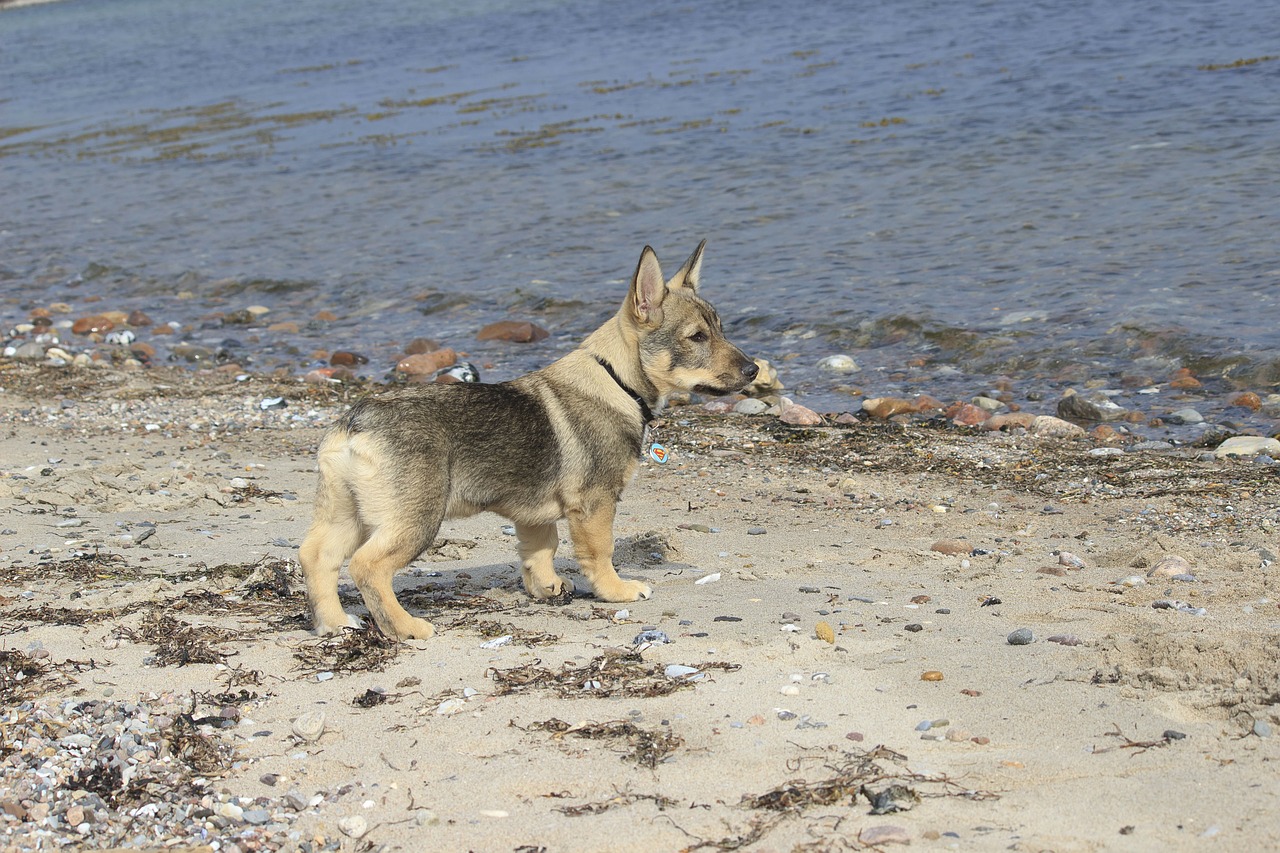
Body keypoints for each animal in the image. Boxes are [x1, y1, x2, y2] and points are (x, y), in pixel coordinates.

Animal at [299, 239, 757, 637]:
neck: (616, 379)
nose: (754, 371)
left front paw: (547, 587)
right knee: (368, 567)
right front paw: (616, 590)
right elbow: (600, 552)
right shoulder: (596, 504)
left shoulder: (534, 515)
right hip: (415, 519)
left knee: (317, 556)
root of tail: (355, 422)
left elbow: (542, 550)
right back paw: (405, 627)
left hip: (346, 513)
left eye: (719, 330)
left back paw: (335, 623)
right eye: (697, 337)